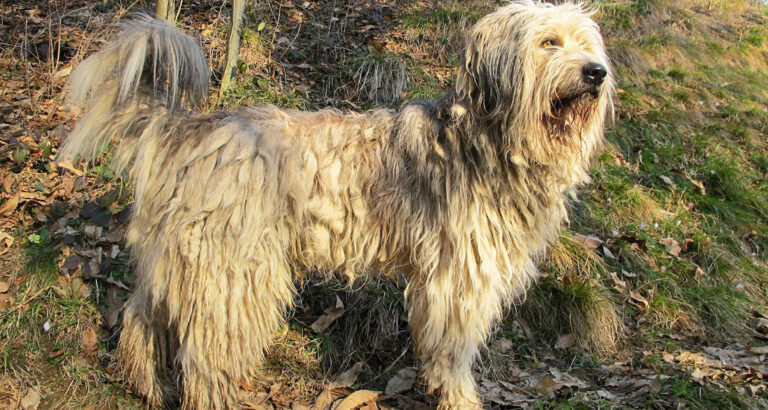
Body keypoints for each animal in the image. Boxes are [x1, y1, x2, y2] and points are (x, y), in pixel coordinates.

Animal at [58, 0, 612, 406]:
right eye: (548, 42)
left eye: (586, 44)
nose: (597, 73)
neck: (488, 141)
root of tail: (189, 128)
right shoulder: (456, 282)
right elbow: (452, 355)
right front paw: (460, 399)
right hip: (235, 273)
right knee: (206, 356)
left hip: (180, 258)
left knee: (141, 318)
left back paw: (148, 386)